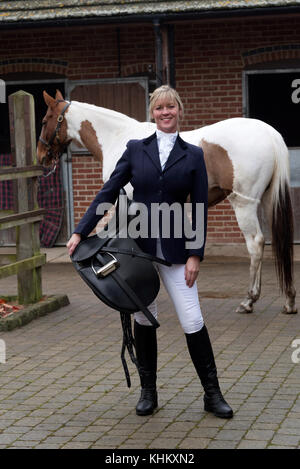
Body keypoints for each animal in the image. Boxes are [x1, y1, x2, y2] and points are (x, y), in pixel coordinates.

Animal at [37, 88, 298, 314]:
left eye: (45, 120)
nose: (41, 157)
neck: (117, 137)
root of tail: (270, 133)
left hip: (243, 204)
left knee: (256, 244)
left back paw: (249, 300)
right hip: (267, 201)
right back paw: (288, 300)